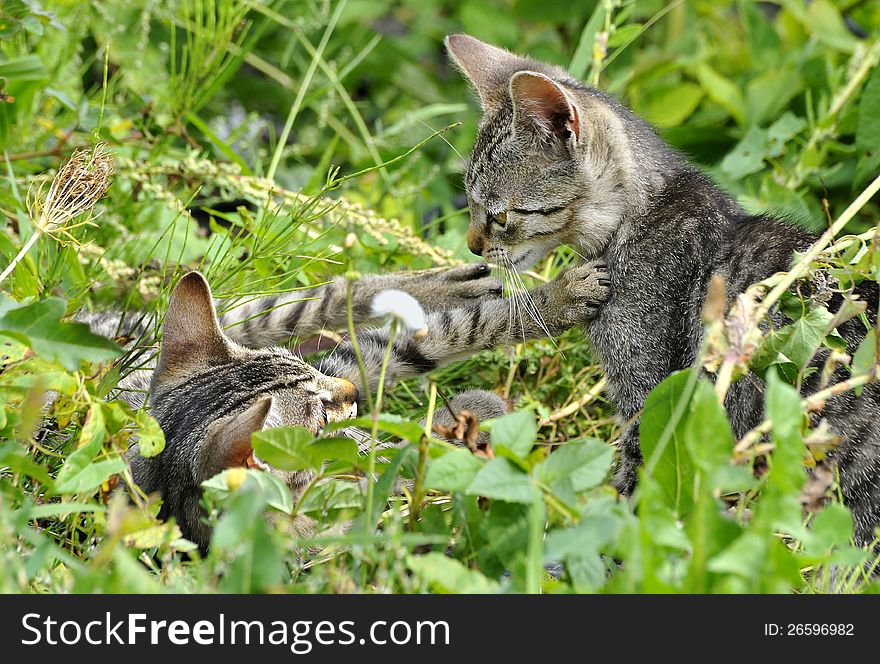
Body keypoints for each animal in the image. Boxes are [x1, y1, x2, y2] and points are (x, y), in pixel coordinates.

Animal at [446, 33, 880, 544]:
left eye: (497, 215)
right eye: (469, 201)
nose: (473, 246)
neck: (633, 221)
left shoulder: (650, 395)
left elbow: (639, 494)